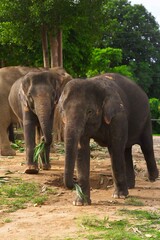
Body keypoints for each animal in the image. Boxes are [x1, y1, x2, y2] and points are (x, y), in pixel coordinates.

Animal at [58, 72, 159, 204]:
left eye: (89, 111)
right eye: (62, 111)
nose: (75, 181)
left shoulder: (118, 117)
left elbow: (115, 148)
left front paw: (119, 196)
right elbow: (82, 150)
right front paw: (80, 203)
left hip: (146, 117)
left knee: (146, 146)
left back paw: (153, 179)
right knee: (126, 150)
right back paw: (130, 186)